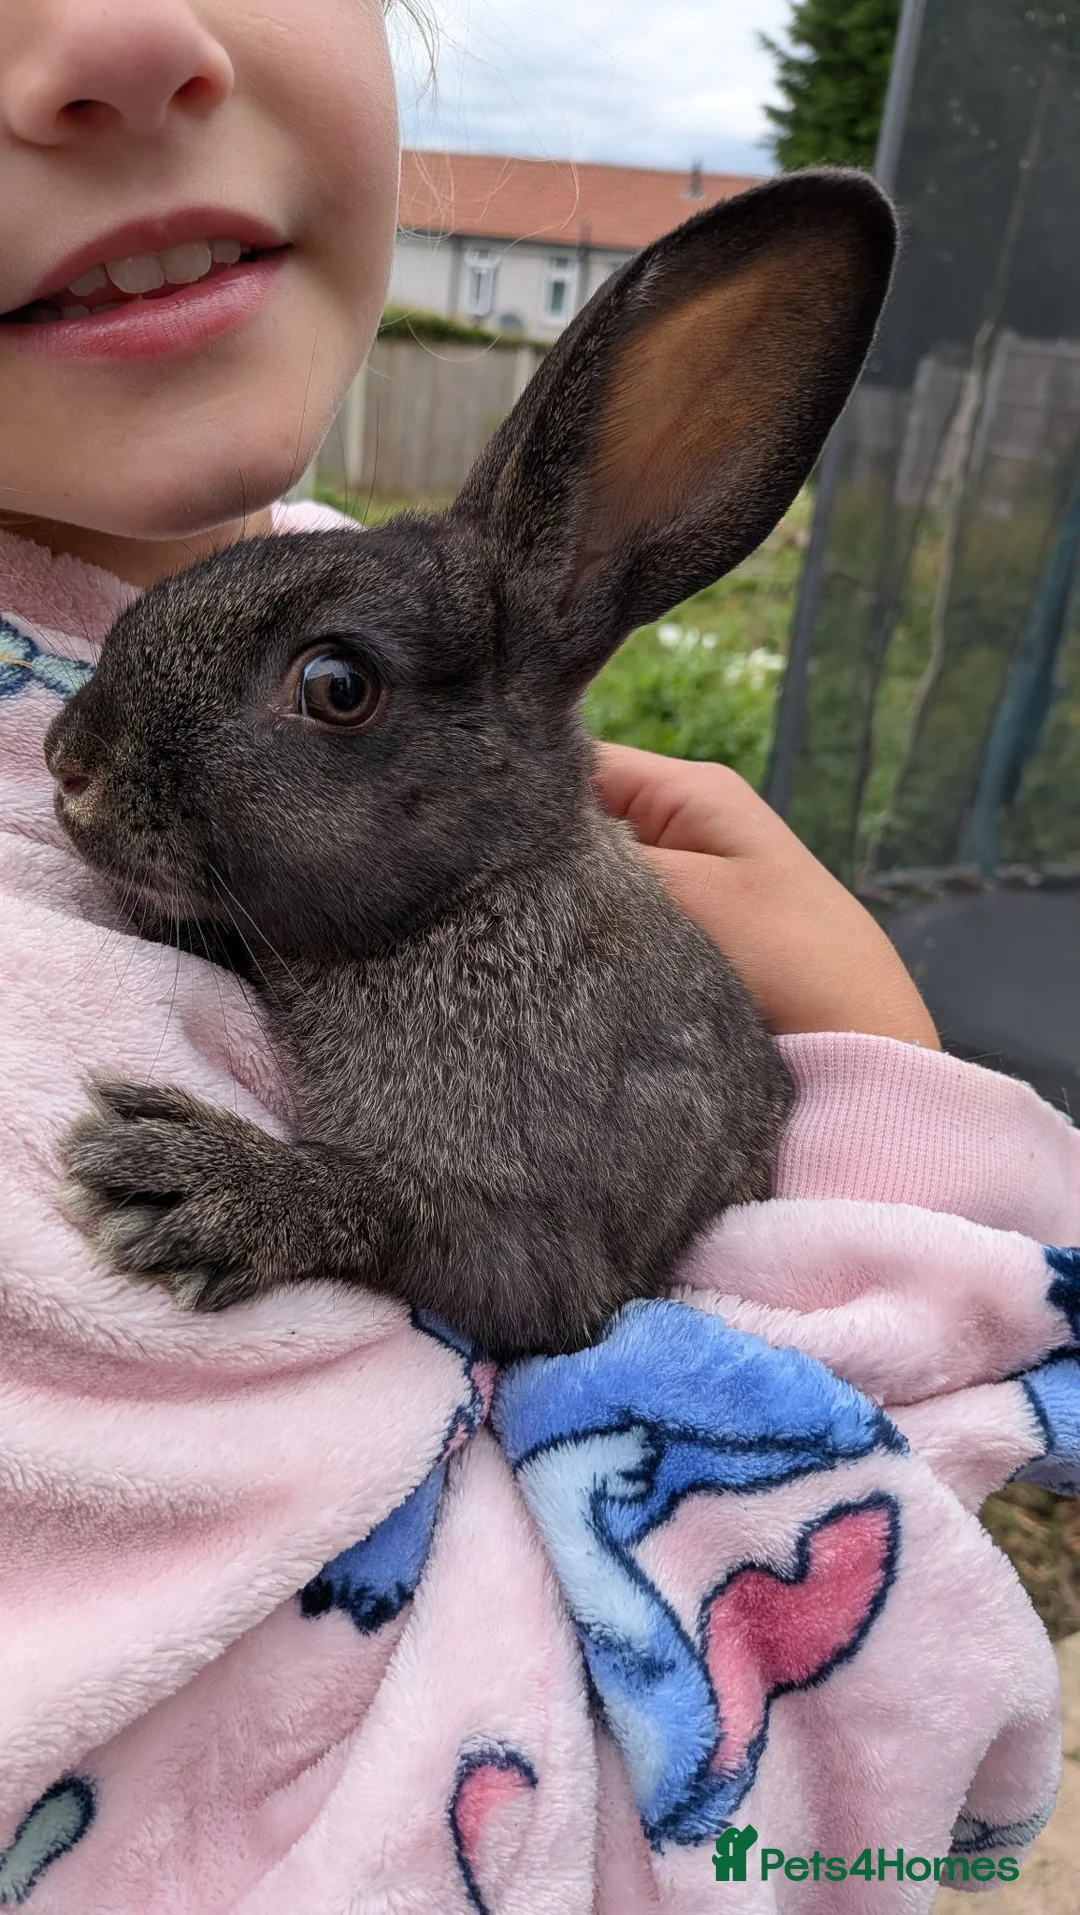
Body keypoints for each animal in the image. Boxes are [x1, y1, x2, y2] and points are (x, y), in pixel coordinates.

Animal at [45, 169, 897, 1361]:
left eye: (338, 686)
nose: (67, 762)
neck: (467, 898)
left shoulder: (538, 1249)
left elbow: (404, 1213)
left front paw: (190, 1182)